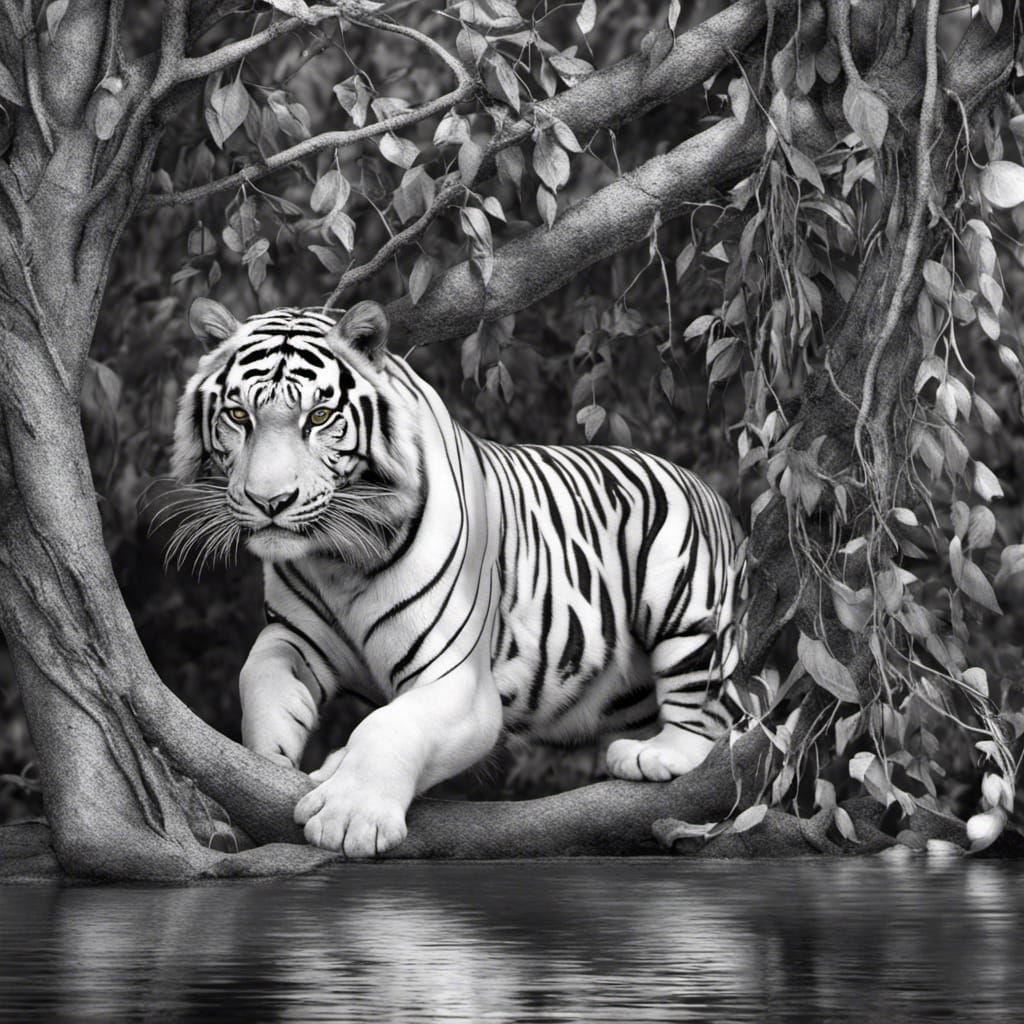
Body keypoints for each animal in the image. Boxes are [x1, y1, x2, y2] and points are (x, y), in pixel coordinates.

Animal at [171, 298, 744, 858]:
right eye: (239, 415)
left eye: (319, 416)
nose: (270, 501)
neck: (338, 558)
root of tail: (711, 492)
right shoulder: (293, 634)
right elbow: (259, 674)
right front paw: (272, 756)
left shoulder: (457, 678)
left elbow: (390, 725)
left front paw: (349, 817)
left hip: (687, 613)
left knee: (712, 714)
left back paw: (657, 755)